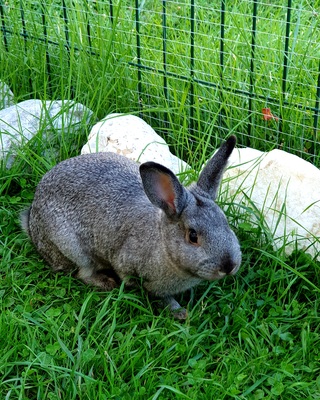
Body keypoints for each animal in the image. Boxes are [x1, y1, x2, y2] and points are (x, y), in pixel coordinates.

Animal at [20, 134, 240, 318]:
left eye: (226, 223)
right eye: (193, 236)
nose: (229, 266)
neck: (164, 245)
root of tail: (32, 222)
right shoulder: (126, 265)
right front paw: (179, 312)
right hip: (73, 248)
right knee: (83, 273)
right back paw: (106, 283)